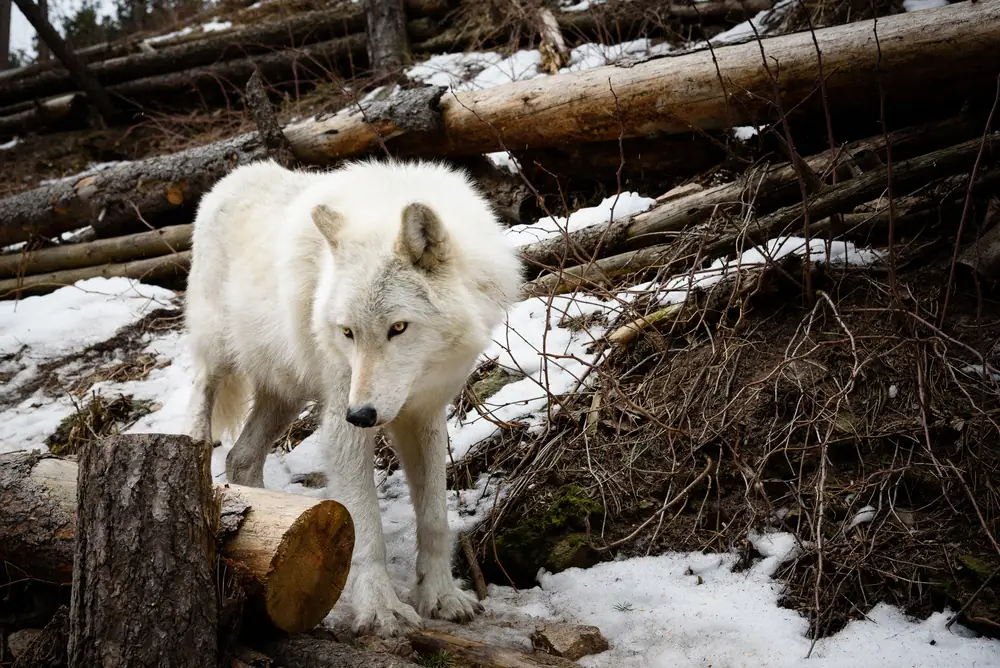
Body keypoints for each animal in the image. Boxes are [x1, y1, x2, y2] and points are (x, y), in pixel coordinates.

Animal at [183, 158, 524, 637]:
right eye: (348, 332)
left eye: (398, 328)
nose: (361, 415)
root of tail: (231, 178)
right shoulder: (340, 420)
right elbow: (367, 529)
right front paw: (381, 610)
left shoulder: (424, 414)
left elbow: (435, 519)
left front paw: (441, 597)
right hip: (220, 358)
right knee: (200, 404)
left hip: (285, 394)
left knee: (241, 457)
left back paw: (269, 529)